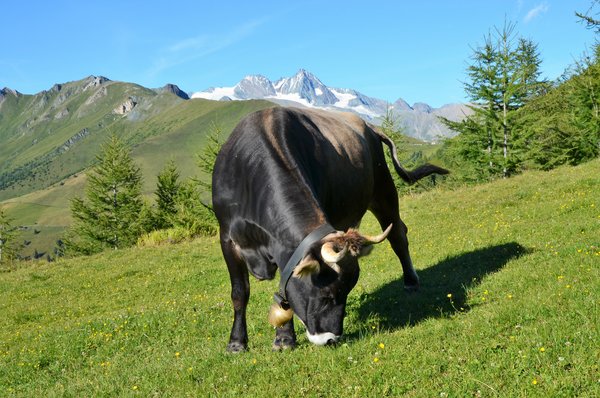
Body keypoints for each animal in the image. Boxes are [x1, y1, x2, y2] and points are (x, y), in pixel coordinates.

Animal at [211, 105, 446, 352]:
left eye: (346, 292)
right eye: (326, 295)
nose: (331, 339)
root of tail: (370, 127)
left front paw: (284, 338)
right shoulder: (227, 238)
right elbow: (240, 292)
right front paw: (237, 342)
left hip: (384, 191)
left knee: (399, 236)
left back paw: (411, 281)